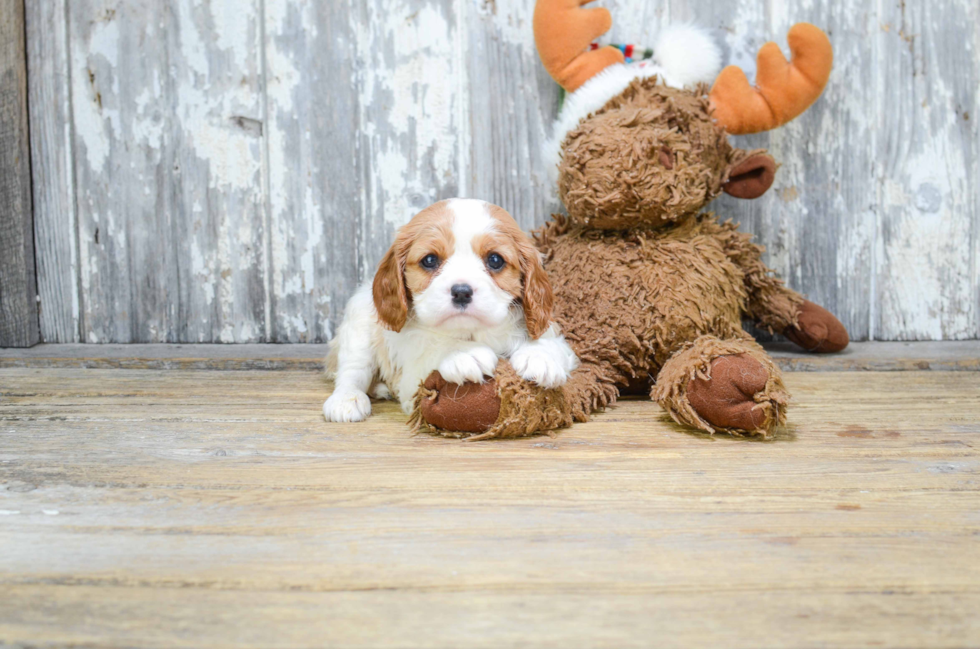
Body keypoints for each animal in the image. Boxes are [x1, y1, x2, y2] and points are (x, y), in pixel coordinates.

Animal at [326, 199, 580, 420]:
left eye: (495, 260)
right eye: (429, 260)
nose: (461, 292)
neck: (472, 332)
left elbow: (549, 342)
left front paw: (540, 357)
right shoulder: (410, 377)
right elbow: (432, 345)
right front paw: (464, 353)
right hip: (358, 330)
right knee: (352, 371)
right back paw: (347, 399)